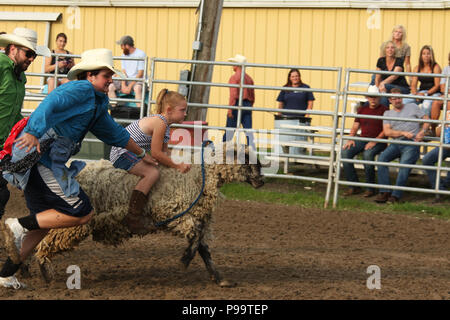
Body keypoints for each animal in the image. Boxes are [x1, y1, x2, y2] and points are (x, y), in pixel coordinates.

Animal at [36, 144, 268, 286]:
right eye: (247, 158)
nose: (262, 181)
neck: (198, 176)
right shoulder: (172, 212)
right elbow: (195, 236)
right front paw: (184, 260)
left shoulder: (195, 215)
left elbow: (203, 247)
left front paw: (219, 278)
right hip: (74, 220)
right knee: (45, 240)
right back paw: (44, 270)